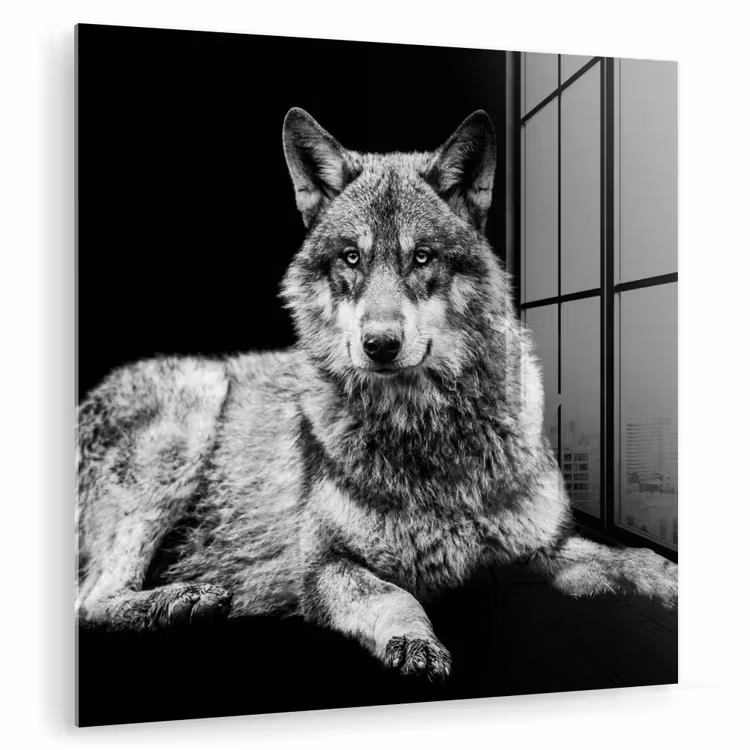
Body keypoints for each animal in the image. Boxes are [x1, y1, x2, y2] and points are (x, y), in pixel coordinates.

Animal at [76, 108, 677, 681]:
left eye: (422, 257)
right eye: (351, 258)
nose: (381, 344)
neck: (427, 433)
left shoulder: (541, 550)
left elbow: (628, 557)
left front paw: (668, 577)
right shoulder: (324, 566)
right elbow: (395, 595)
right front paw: (414, 642)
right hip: (191, 415)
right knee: (90, 601)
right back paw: (184, 601)